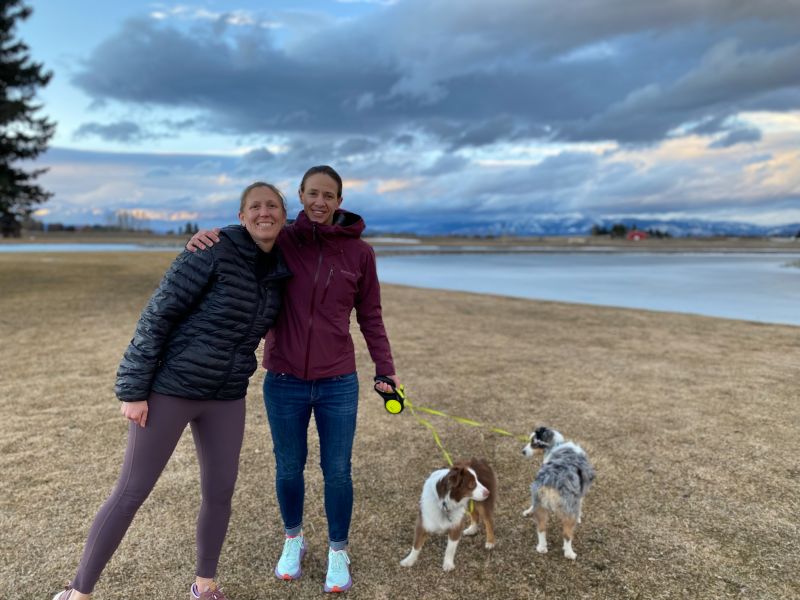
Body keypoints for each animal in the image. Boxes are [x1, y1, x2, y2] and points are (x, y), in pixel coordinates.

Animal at [522, 426, 595, 560]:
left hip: (540, 504)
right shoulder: (580, 492)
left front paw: (528, 511)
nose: (523, 452)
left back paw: (542, 548)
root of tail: (551, 480)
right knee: (567, 535)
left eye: (533, 443)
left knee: (541, 529)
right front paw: (580, 517)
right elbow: (581, 505)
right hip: (569, 511)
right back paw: (569, 553)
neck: (557, 445)